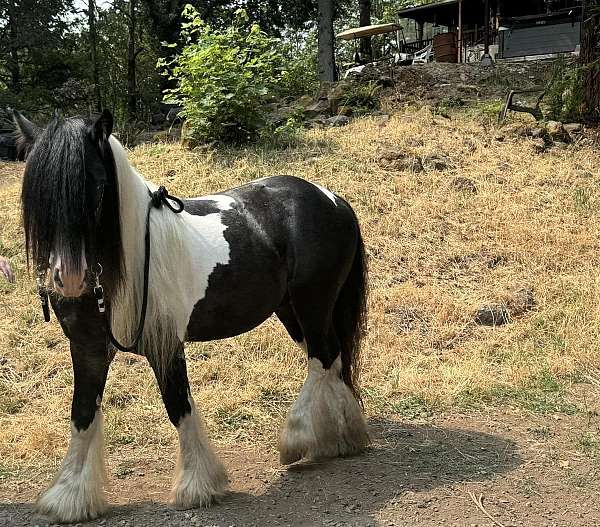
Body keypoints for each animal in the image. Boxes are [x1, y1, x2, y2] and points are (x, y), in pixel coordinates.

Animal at [15, 111, 370, 524]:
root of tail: (332, 199)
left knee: (322, 357)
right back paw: (341, 437)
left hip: (312, 303)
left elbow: (178, 407)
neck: (127, 262)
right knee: (332, 358)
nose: (68, 277)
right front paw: (70, 497)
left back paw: (298, 439)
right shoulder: (88, 349)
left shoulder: (165, 345)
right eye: (37, 193)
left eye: (99, 186)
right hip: (291, 311)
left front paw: (198, 485)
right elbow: (83, 413)